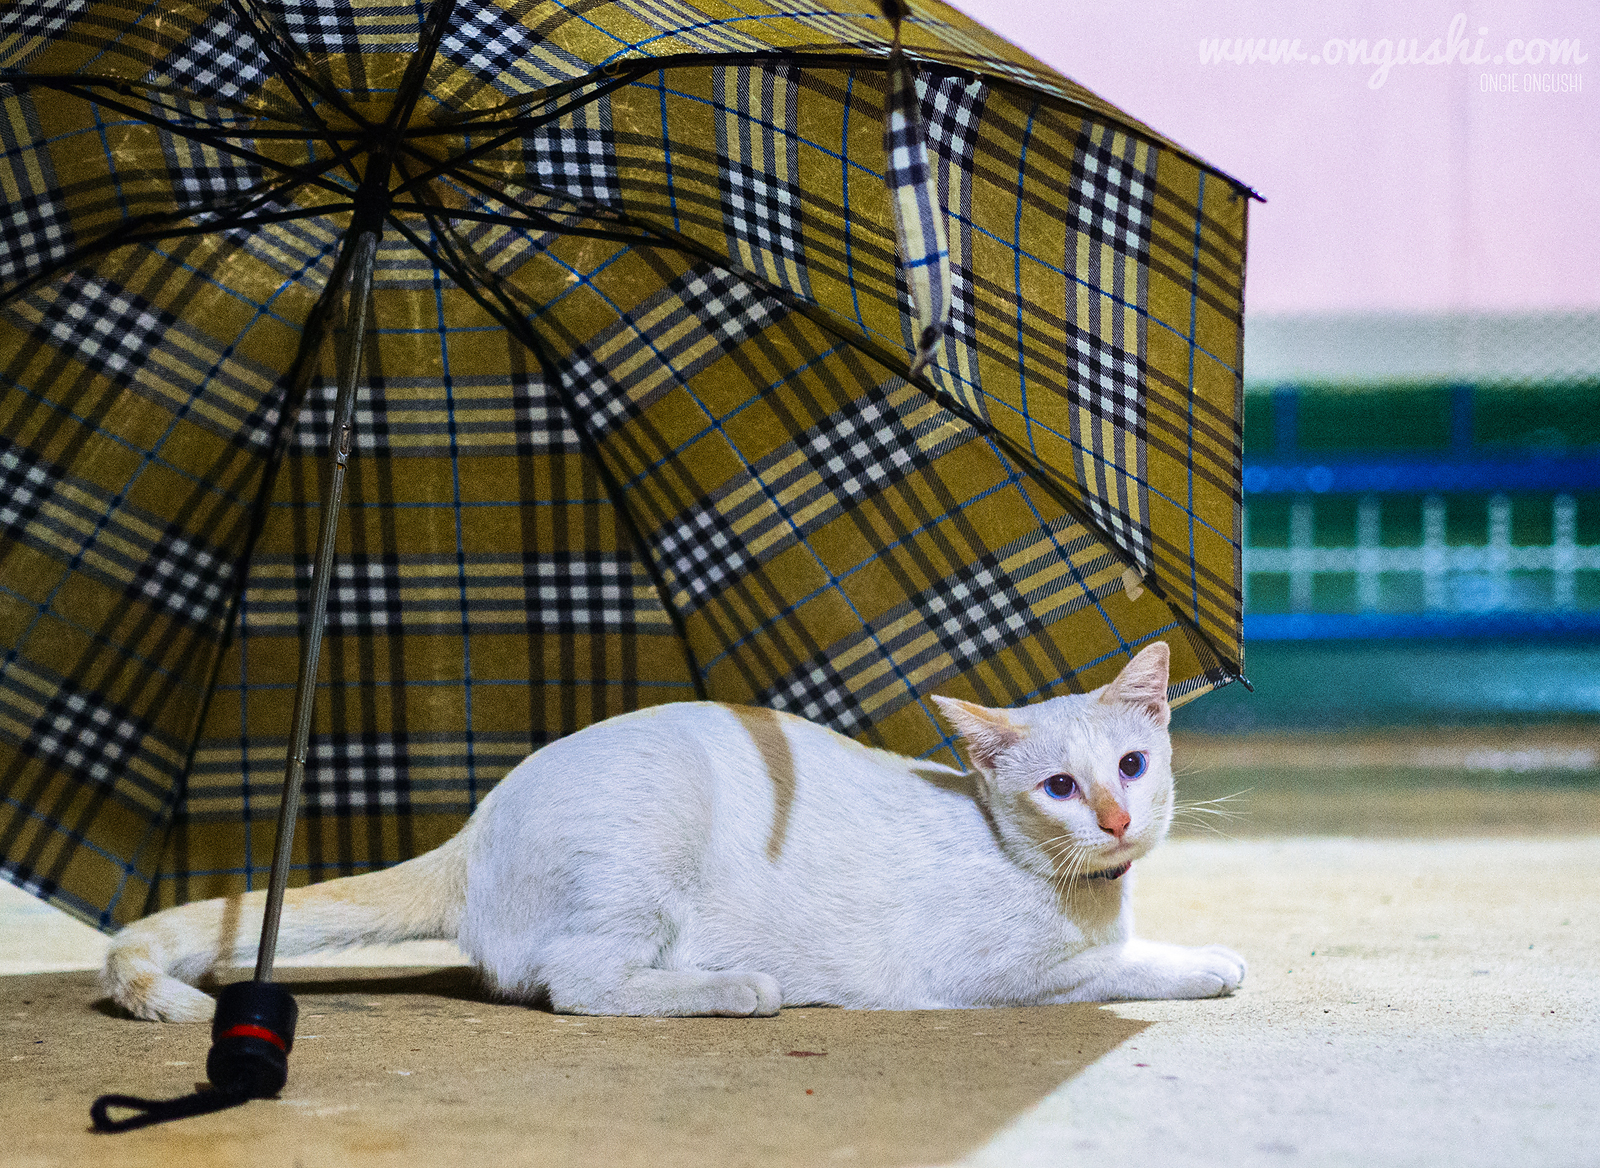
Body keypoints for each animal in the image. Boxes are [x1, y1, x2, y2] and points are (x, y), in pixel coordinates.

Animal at [106, 640, 1241, 1017]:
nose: (1115, 816)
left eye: (1131, 767)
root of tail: (477, 825)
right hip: (645, 853)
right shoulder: (1001, 976)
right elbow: (1127, 968)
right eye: (1057, 785)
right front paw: (1207, 962)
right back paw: (735, 988)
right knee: (579, 985)